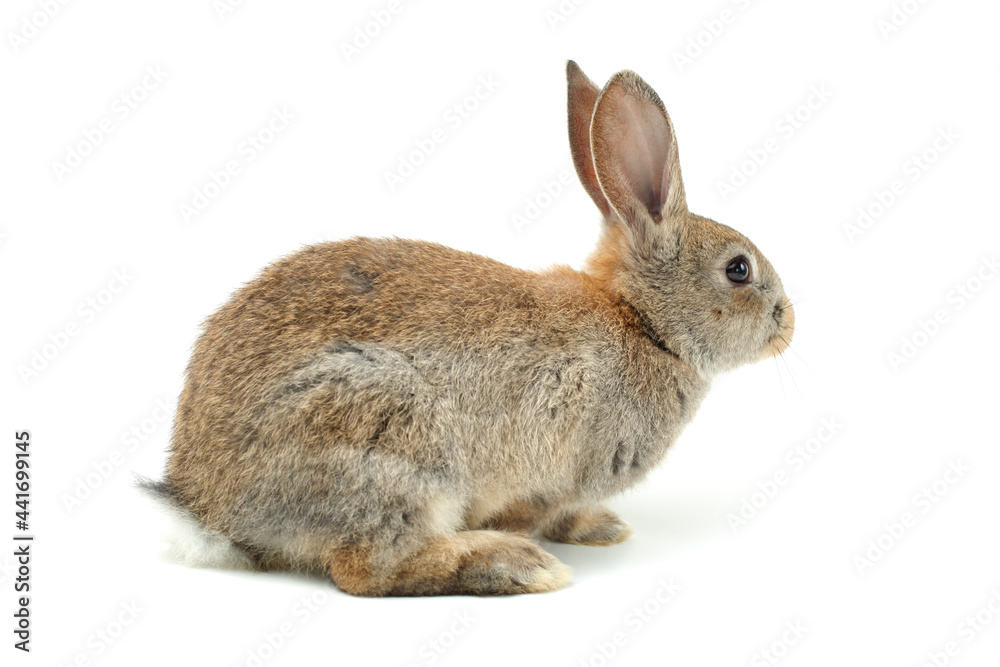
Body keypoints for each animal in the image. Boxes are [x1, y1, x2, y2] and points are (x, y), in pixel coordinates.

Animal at [140, 60, 794, 597]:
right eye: (739, 270)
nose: (788, 322)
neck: (643, 323)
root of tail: (207, 509)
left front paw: (603, 529)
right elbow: (543, 508)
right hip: (389, 437)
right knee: (368, 568)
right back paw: (513, 566)